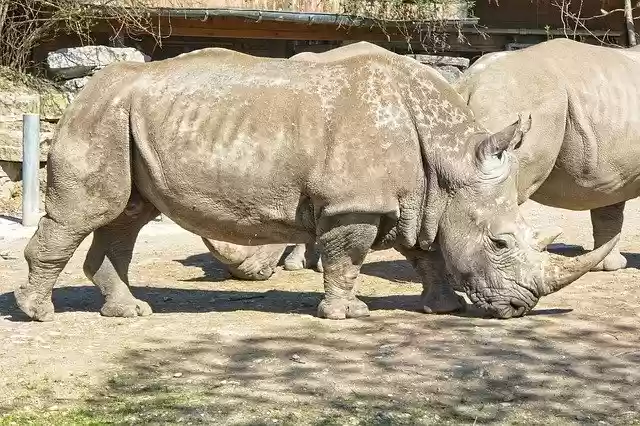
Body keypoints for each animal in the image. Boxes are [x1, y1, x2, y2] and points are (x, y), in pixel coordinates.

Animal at [15, 42, 616, 322]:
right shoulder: (355, 203)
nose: (519, 307)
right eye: (500, 243)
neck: (450, 163)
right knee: (89, 212)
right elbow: (347, 258)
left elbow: (426, 252)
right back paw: (38, 314)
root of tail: (89, 87)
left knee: (126, 217)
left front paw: (441, 308)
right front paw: (346, 315)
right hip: (99, 116)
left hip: (122, 118)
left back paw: (132, 314)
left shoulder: (415, 198)